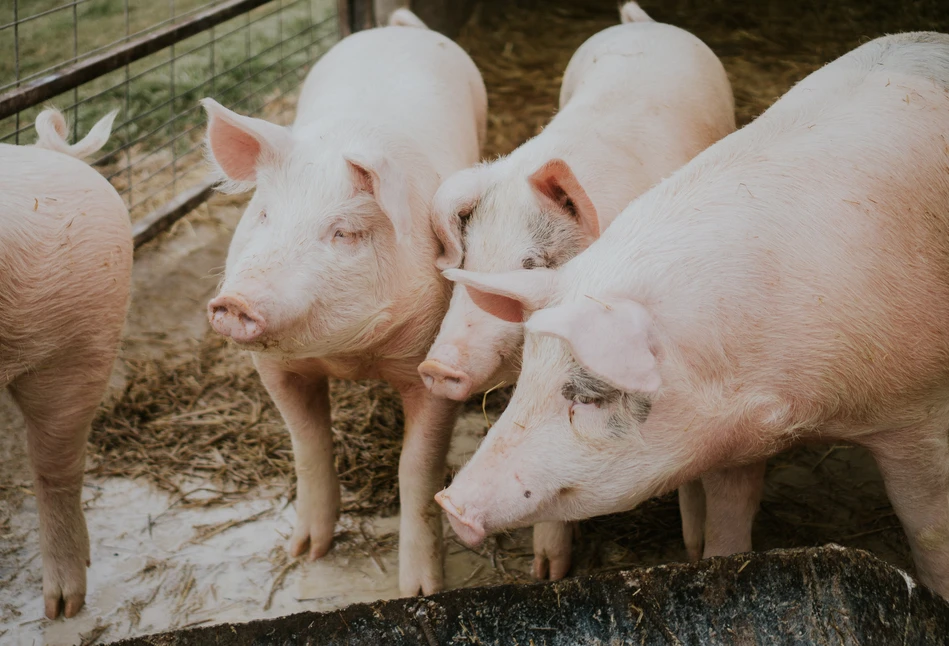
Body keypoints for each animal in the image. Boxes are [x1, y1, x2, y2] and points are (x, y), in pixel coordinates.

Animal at [199, 8, 482, 596]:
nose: (236, 300)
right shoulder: (274, 368)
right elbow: (307, 446)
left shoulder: (434, 366)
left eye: (345, 233)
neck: (350, 357)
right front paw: (306, 553)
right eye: (263, 214)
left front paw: (420, 590)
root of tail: (397, 27)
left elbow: (417, 470)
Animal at [418, 1, 736, 584]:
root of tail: (643, 23)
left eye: (533, 263)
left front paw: (695, 548)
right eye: (468, 260)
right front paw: (547, 574)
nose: (435, 367)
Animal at [438, 34, 949, 604]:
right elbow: (731, 518)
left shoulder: (918, 412)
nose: (449, 502)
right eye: (527, 378)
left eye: (589, 397)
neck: (792, 409)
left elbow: (928, 529)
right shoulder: (732, 438)